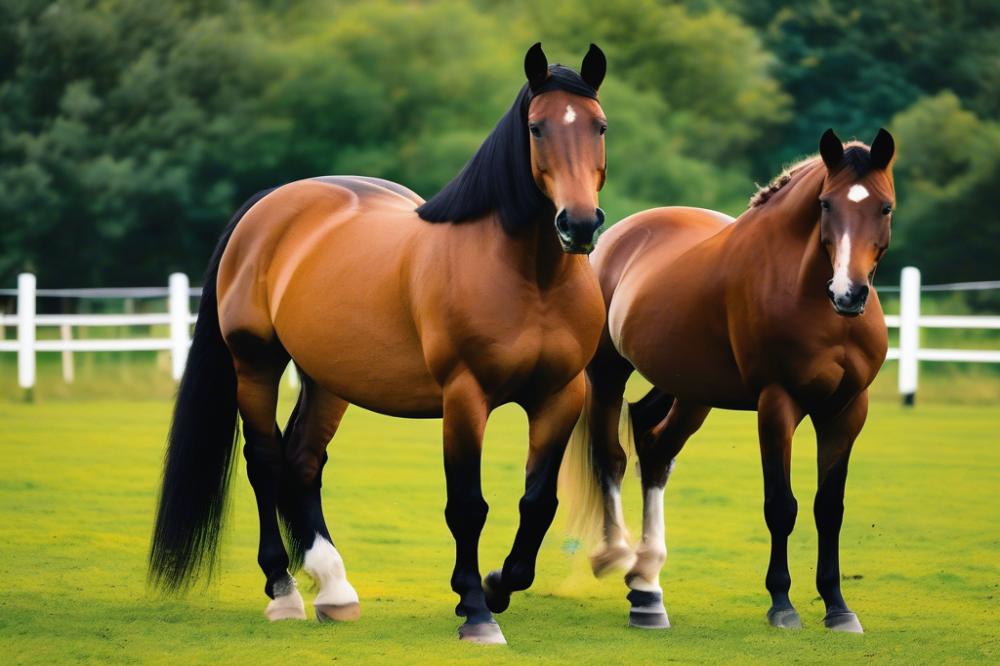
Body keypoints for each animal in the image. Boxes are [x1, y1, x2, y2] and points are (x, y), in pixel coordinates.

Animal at [149, 43, 609, 645]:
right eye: (536, 128)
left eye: (600, 126)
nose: (578, 224)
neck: (532, 280)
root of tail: (268, 206)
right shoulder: (465, 399)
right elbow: (467, 506)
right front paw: (475, 609)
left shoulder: (560, 397)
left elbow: (538, 503)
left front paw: (496, 585)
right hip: (256, 364)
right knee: (265, 462)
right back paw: (284, 589)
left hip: (328, 380)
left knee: (303, 461)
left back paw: (334, 589)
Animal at [560, 129, 896, 633]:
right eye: (825, 204)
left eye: (885, 207)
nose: (848, 293)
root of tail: (616, 237)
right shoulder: (777, 404)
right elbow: (781, 506)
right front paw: (782, 603)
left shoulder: (847, 410)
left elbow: (828, 509)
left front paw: (838, 606)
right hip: (608, 375)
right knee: (612, 457)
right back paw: (618, 556)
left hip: (690, 391)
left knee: (654, 451)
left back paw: (646, 588)